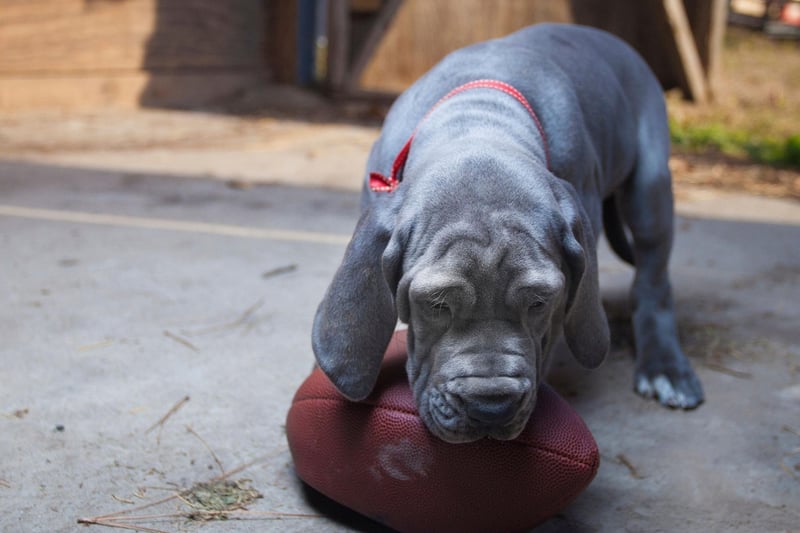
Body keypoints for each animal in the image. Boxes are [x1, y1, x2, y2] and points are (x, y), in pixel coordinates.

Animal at [310, 23, 700, 440]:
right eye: (436, 305)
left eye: (540, 302)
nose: (490, 409)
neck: (479, 119)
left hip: (651, 187)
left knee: (653, 279)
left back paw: (665, 369)